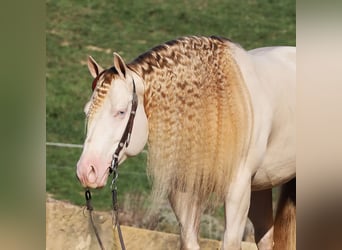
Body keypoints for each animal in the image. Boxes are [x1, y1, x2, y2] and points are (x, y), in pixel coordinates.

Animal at [76, 35, 296, 250]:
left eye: (121, 111)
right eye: (87, 112)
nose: (87, 170)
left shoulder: (238, 190)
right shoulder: (183, 192)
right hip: (261, 186)